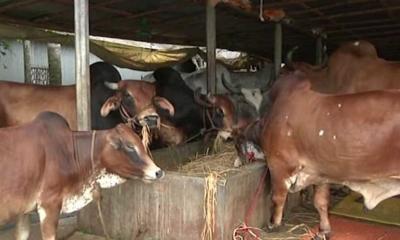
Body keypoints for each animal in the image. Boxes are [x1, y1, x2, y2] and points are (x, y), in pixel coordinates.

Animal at [260, 69, 400, 238]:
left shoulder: (278, 163)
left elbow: (278, 197)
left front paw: (273, 225)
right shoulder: (320, 173)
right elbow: (320, 202)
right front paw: (324, 231)